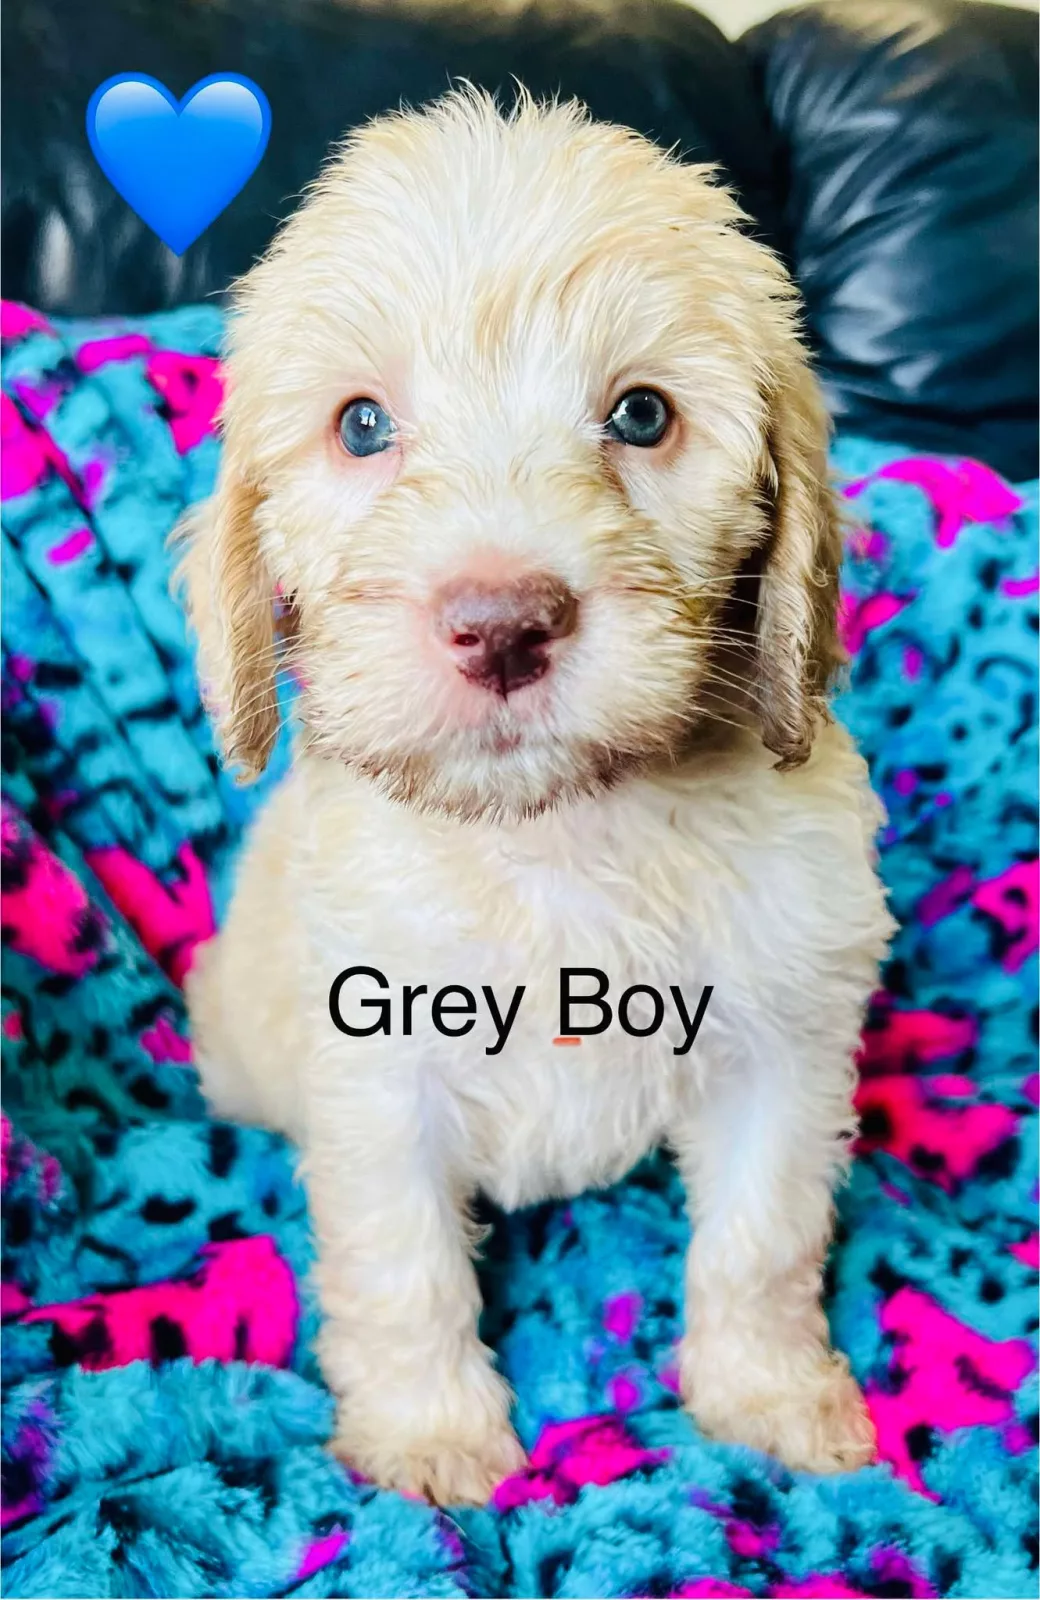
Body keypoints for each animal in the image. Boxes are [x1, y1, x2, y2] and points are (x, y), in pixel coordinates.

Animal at [177, 88, 894, 1506]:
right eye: (361, 424)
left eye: (640, 416)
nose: (501, 623)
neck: (561, 831)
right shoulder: (374, 1069)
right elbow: (401, 1265)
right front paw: (429, 1434)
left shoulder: (782, 1047)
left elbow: (760, 1238)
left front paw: (765, 1395)